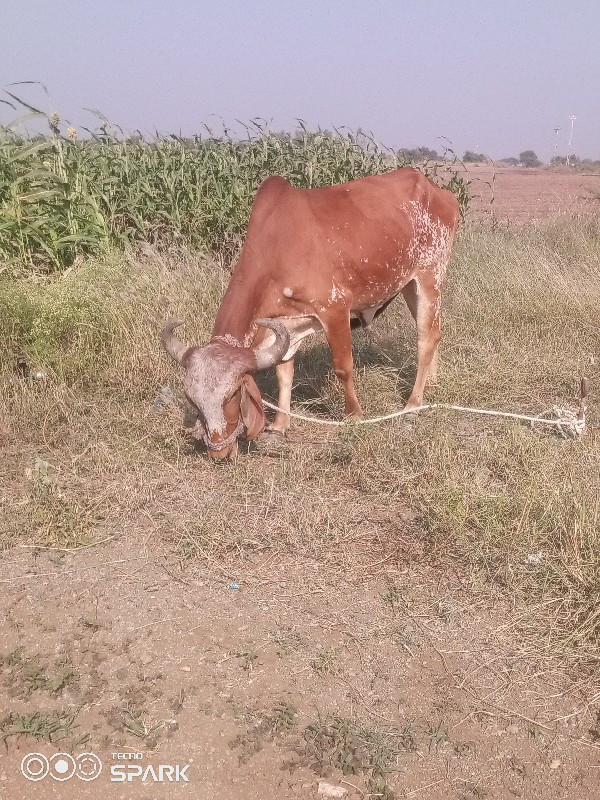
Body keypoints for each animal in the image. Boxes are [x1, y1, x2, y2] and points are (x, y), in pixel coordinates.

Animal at [159, 166, 460, 460]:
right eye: (192, 399)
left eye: (231, 395)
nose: (218, 452)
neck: (277, 249)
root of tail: (438, 191)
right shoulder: (285, 324)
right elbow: (284, 372)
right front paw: (280, 426)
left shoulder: (335, 308)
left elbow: (343, 367)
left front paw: (354, 416)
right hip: (409, 285)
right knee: (436, 331)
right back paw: (431, 385)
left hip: (430, 276)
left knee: (426, 338)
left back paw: (412, 405)